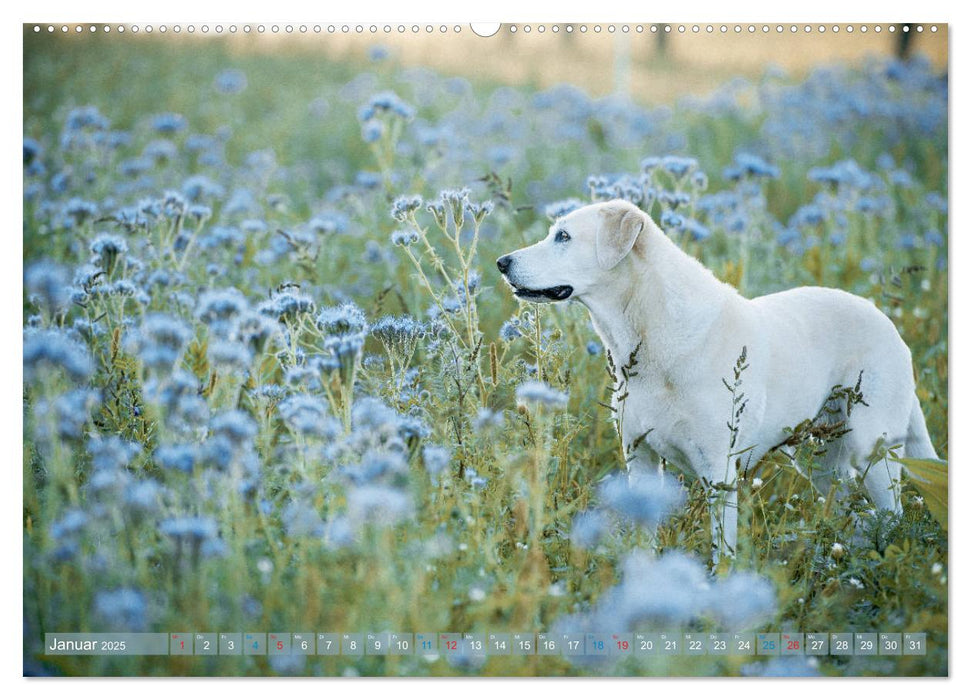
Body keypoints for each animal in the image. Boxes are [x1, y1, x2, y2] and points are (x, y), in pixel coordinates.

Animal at [498, 200, 936, 560]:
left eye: (564, 237)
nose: (502, 262)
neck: (647, 326)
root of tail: (889, 324)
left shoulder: (718, 471)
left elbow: (722, 548)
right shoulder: (639, 457)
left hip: (873, 449)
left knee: (890, 513)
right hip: (823, 459)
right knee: (852, 510)